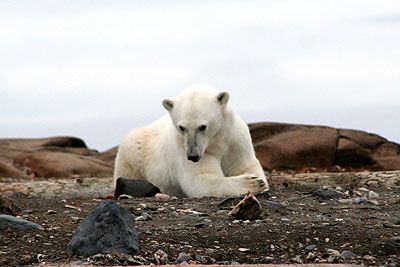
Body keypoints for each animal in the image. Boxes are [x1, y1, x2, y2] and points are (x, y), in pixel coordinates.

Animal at [113, 84, 268, 199]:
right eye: (182, 127)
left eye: (203, 126)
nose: (193, 156)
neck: (216, 142)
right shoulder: (183, 147)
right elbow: (199, 179)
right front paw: (252, 182)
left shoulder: (235, 140)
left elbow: (245, 165)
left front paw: (259, 180)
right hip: (133, 153)